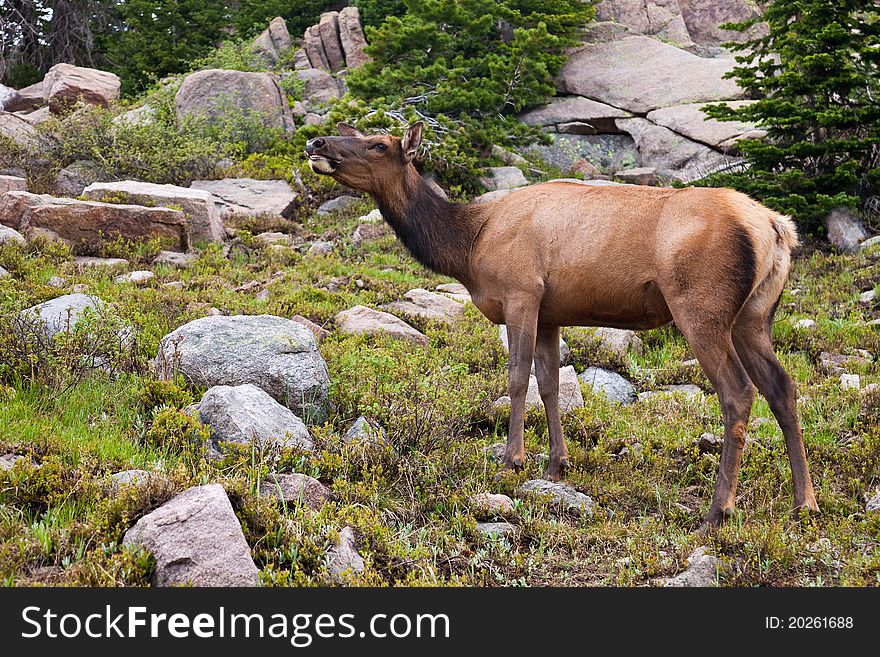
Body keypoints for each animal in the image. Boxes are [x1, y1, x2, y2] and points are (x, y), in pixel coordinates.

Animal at [306, 120, 820, 524]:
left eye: (378, 144)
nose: (316, 142)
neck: (468, 246)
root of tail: (776, 228)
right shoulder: (551, 312)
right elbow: (550, 383)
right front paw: (556, 464)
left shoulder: (521, 292)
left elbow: (517, 378)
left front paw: (511, 460)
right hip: (753, 316)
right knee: (783, 386)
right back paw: (805, 503)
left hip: (701, 306)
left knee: (738, 392)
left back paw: (718, 510)